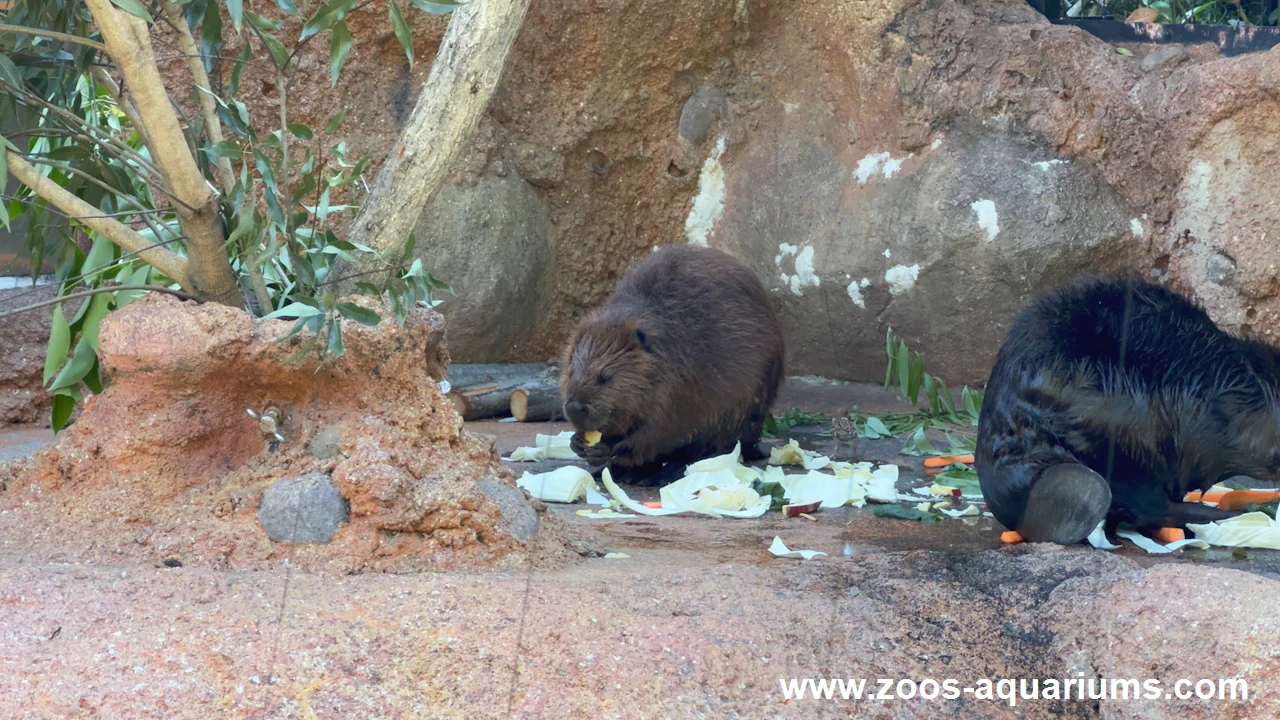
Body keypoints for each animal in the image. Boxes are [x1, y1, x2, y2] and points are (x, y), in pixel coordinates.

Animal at [563, 243, 783, 484]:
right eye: (572, 372)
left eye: (605, 376)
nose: (574, 408)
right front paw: (577, 442)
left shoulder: (682, 385)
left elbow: (659, 430)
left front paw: (607, 448)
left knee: (711, 448)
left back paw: (660, 473)